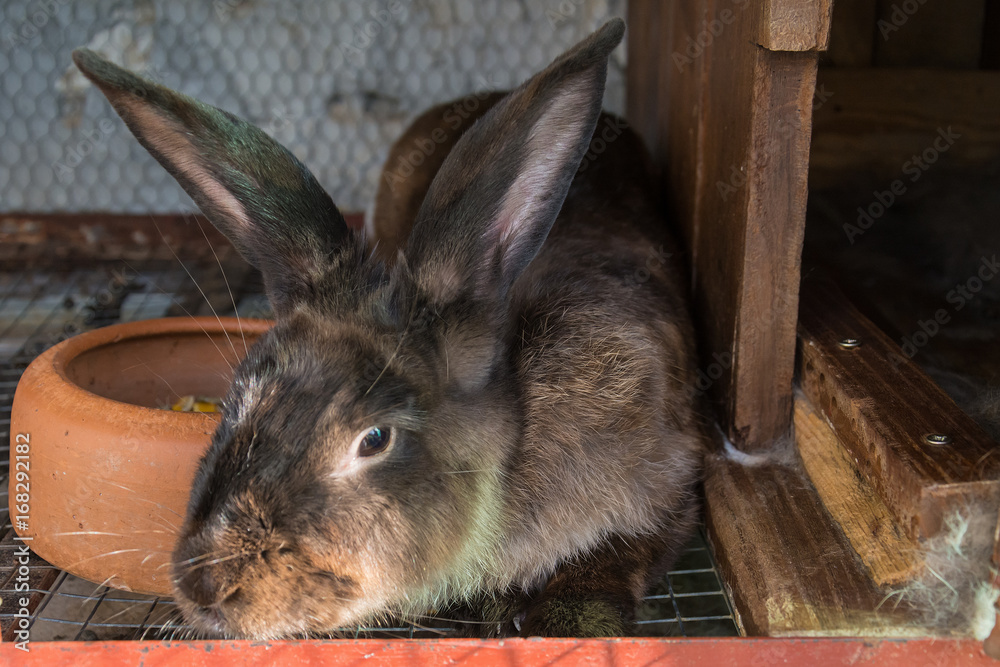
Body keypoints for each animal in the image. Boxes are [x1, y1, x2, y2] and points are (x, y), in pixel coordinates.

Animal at [71, 17, 709, 639]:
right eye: (236, 402)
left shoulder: (673, 484)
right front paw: (498, 608)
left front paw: (570, 620)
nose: (205, 587)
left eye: (374, 439)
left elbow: (618, 555)